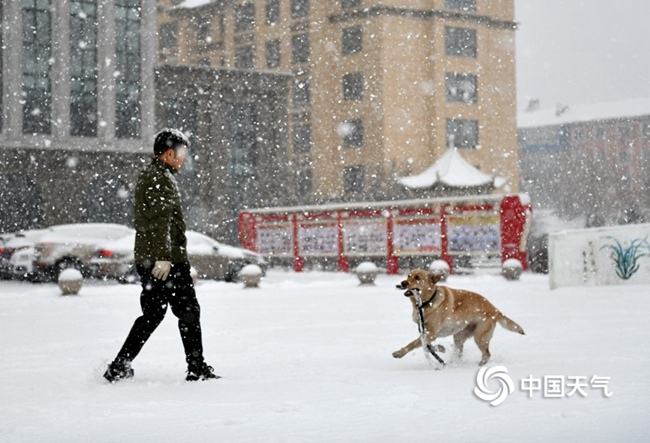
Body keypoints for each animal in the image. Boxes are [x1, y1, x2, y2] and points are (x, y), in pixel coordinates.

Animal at [392, 268, 524, 366]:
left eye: (417, 278)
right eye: (408, 276)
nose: (403, 283)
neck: (427, 302)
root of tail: (495, 310)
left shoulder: (431, 334)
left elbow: (413, 344)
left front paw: (399, 353)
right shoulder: (426, 333)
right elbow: (427, 345)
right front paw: (441, 348)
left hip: (480, 336)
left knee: (487, 354)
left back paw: (478, 365)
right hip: (459, 336)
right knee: (459, 353)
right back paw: (453, 363)